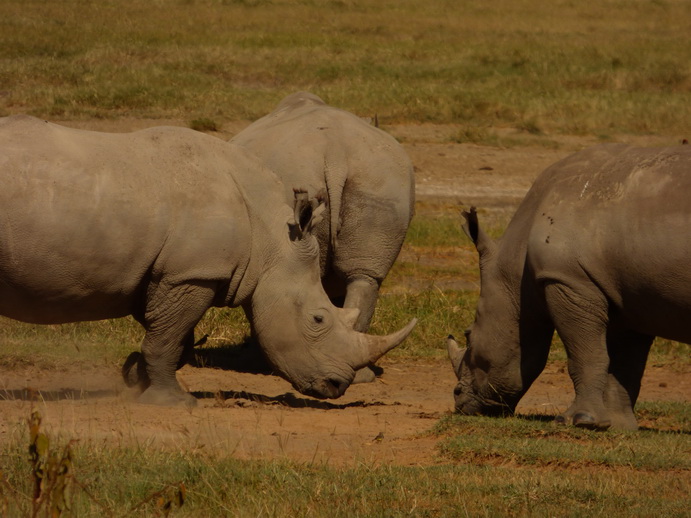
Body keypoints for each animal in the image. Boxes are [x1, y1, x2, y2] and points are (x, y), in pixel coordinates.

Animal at [448, 144, 691, 430]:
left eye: (469, 336)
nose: (458, 399)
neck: (515, 266)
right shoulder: (627, 295)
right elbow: (625, 363)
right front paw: (618, 427)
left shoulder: (568, 280)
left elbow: (586, 355)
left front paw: (578, 420)